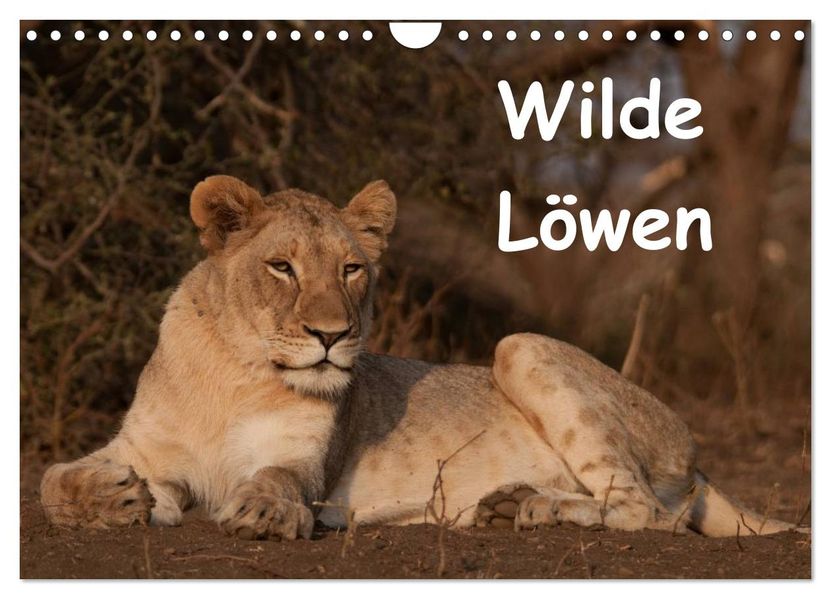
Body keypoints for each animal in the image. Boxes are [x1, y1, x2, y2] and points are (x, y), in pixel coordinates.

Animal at [40, 175, 806, 540]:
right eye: (282, 266)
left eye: (352, 268)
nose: (330, 335)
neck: (238, 372)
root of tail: (696, 457)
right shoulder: (142, 446)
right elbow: (52, 478)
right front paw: (113, 497)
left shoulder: (304, 462)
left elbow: (276, 479)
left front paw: (264, 512)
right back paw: (507, 505)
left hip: (521, 345)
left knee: (644, 509)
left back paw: (536, 509)